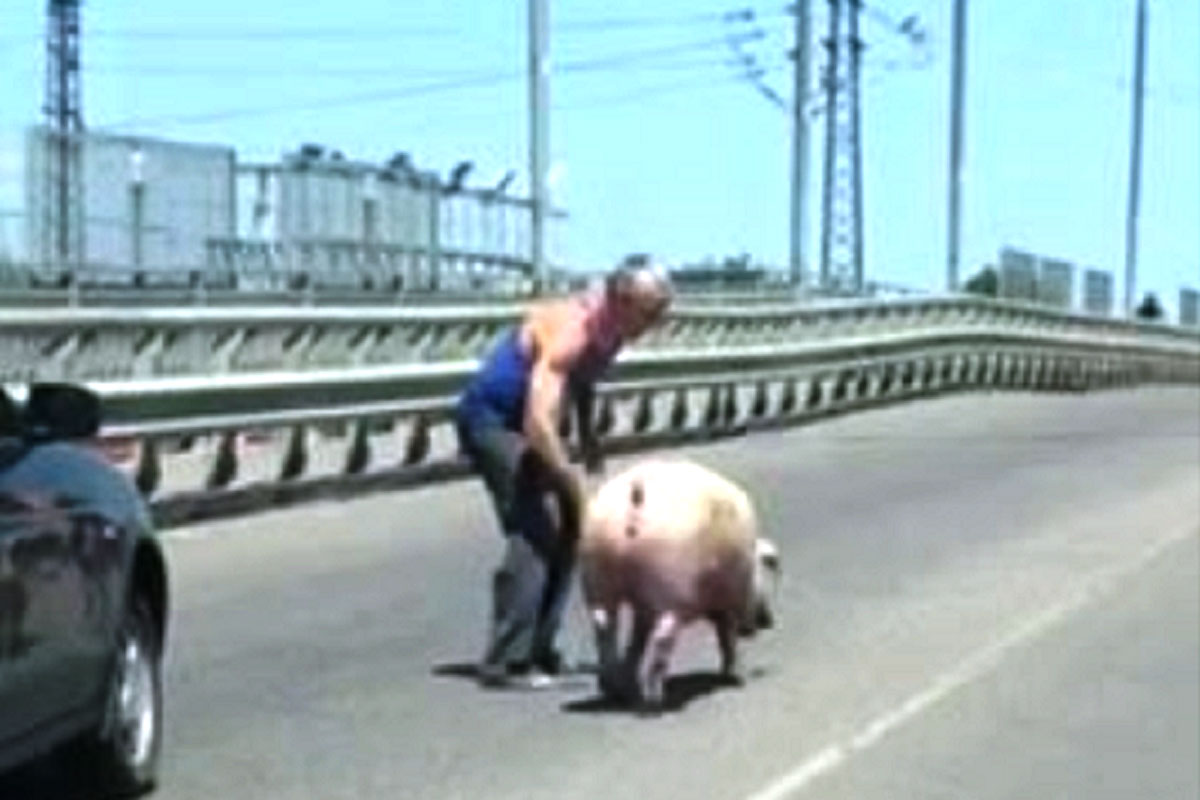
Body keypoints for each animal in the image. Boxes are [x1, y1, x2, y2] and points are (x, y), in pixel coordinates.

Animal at [578, 455, 782, 705]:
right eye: (766, 566)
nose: (768, 621)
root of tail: (636, 494)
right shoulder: (730, 597)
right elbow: (727, 636)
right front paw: (736, 675)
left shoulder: (645, 607)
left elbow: (638, 639)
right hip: (670, 584)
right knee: (662, 635)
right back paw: (654, 698)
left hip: (596, 570)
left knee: (603, 625)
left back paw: (620, 691)